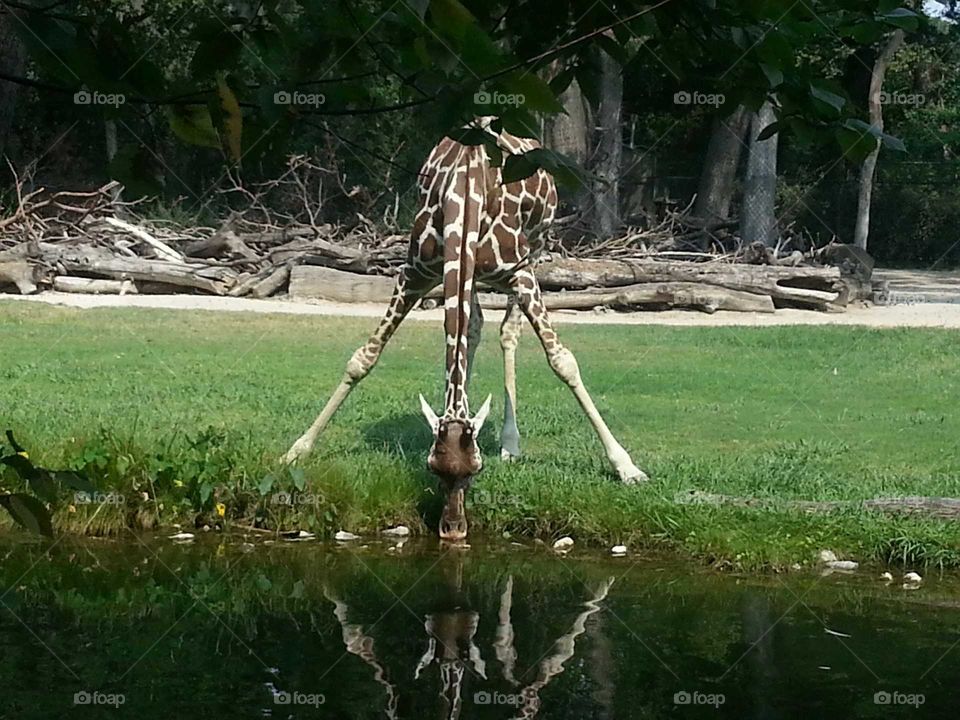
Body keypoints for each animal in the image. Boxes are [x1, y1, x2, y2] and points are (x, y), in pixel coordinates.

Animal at [284, 116, 647, 540]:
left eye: (475, 469)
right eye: (433, 467)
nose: (453, 529)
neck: (467, 190)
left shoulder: (519, 271)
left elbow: (563, 361)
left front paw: (627, 467)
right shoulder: (417, 271)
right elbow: (364, 358)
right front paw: (295, 450)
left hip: (535, 248)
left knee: (508, 331)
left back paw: (511, 443)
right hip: (469, 270)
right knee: (473, 326)